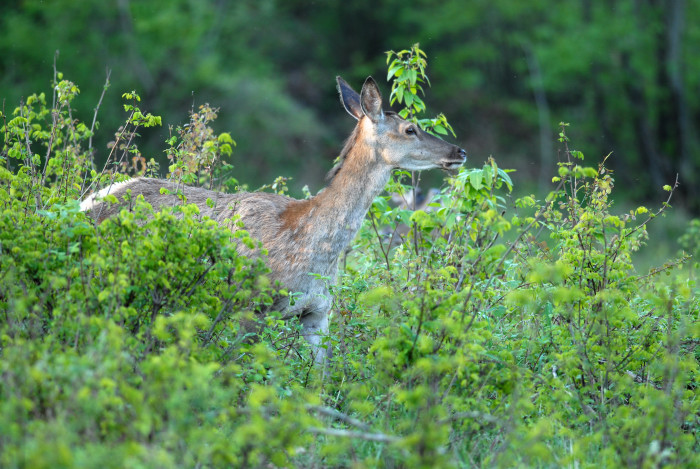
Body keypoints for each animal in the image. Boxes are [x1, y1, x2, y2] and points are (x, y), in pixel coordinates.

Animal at [80, 76, 464, 362]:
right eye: (410, 129)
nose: (459, 151)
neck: (315, 247)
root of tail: (84, 205)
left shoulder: (318, 313)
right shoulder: (250, 306)